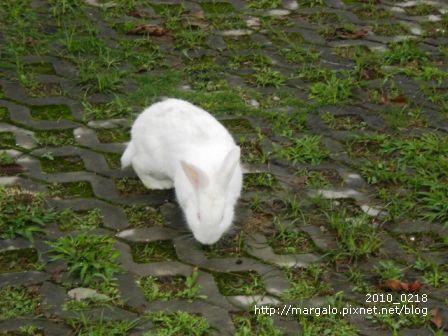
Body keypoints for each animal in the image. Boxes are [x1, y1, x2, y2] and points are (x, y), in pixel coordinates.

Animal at [121, 97, 243, 244]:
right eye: (198, 215)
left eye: (222, 218)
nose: (206, 242)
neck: (211, 174)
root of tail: (135, 132)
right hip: (153, 162)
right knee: (136, 163)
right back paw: (158, 184)